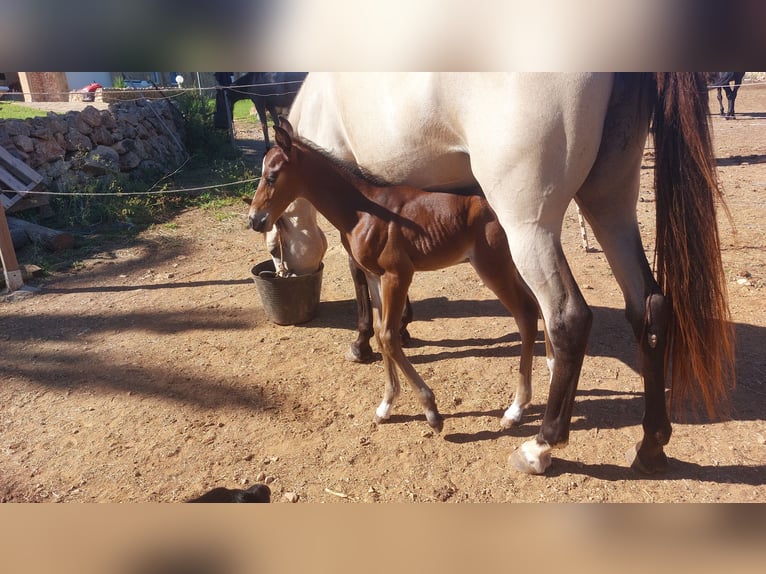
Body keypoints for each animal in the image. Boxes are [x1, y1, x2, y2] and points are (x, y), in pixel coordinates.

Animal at [249, 118, 544, 434]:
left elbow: (390, 336)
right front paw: (386, 405)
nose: (254, 219)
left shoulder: (398, 275)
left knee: (527, 314)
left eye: (272, 176)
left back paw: (516, 410)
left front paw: (431, 410)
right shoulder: (375, 277)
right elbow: (380, 333)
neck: (363, 212)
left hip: (493, 266)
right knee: (540, 308)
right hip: (510, 266)